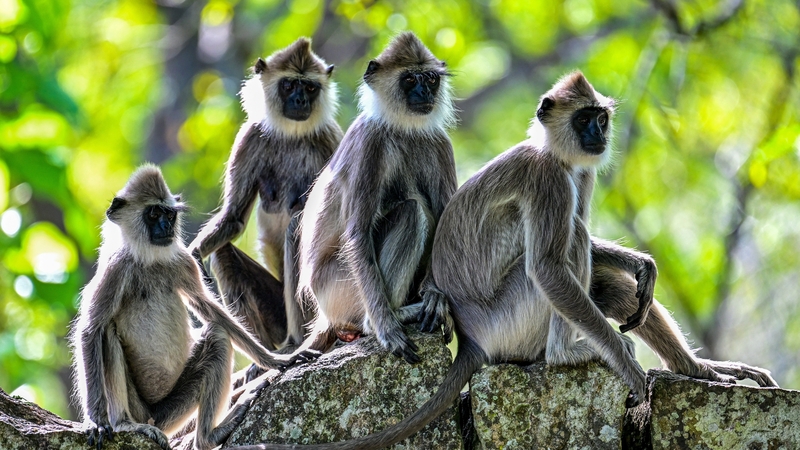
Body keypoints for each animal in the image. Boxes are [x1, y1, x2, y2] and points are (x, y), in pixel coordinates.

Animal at [71, 165, 318, 450]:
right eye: (153, 214)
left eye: (169, 214)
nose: (166, 226)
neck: (149, 261)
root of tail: (153, 417)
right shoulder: (116, 268)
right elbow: (91, 330)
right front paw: (96, 421)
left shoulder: (184, 262)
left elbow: (210, 309)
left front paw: (277, 360)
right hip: (142, 410)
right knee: (107, 332)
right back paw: (125, 423)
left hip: (172, 412)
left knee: (218, 335)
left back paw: (209, 436)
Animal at [189, 37, 343, 351]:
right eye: (289, 85)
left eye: (310, 87)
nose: (300, 101)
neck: (293, 134)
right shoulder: (250, 137)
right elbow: (233, 218)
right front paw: (194, 258)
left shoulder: (330, 138)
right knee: (222, 253)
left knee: (297, 227)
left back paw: (299, 341)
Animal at [221, 71, 777, 450]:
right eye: (585, 118)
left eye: (600, 118)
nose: (597, 135)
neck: (551, 153)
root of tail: (471, 341)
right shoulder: (550, 178)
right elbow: (549, 266)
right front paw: (627, 367)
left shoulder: (578, 173)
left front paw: (643, 266)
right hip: (509, 319)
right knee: (562, 250)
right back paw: (566, 355)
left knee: (604, 282)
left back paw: (696, 369)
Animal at [292, 31, 457, 364]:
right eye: (410, 79)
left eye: (431, 78)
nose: (423, 91)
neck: (403, 128)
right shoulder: (370, 141)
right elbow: (358, 233)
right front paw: (385, 328)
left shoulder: (439, 142)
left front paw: (435, 296)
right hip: (338, 286)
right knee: (412, 211)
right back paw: (383, 320)